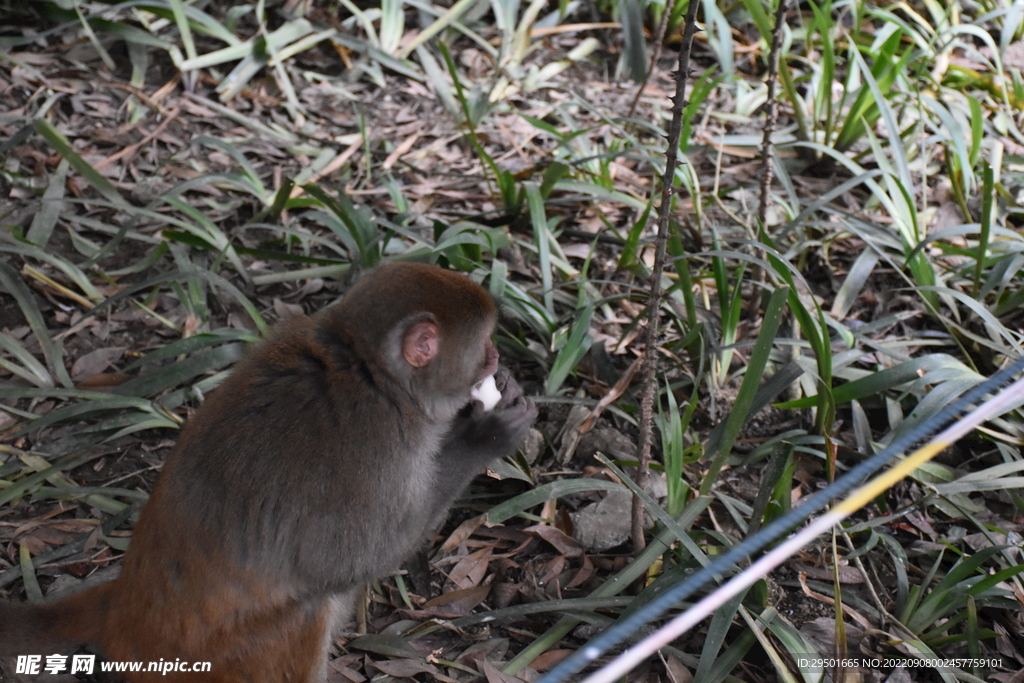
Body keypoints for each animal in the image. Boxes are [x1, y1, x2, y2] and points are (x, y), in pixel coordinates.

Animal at [0, 260, 540, 679]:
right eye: (484, 347)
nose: (498, 357)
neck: (371, 371)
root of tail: (122, 608)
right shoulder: (377, 447)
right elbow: (346, 561)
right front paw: (481, 436)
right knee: (308, 610)